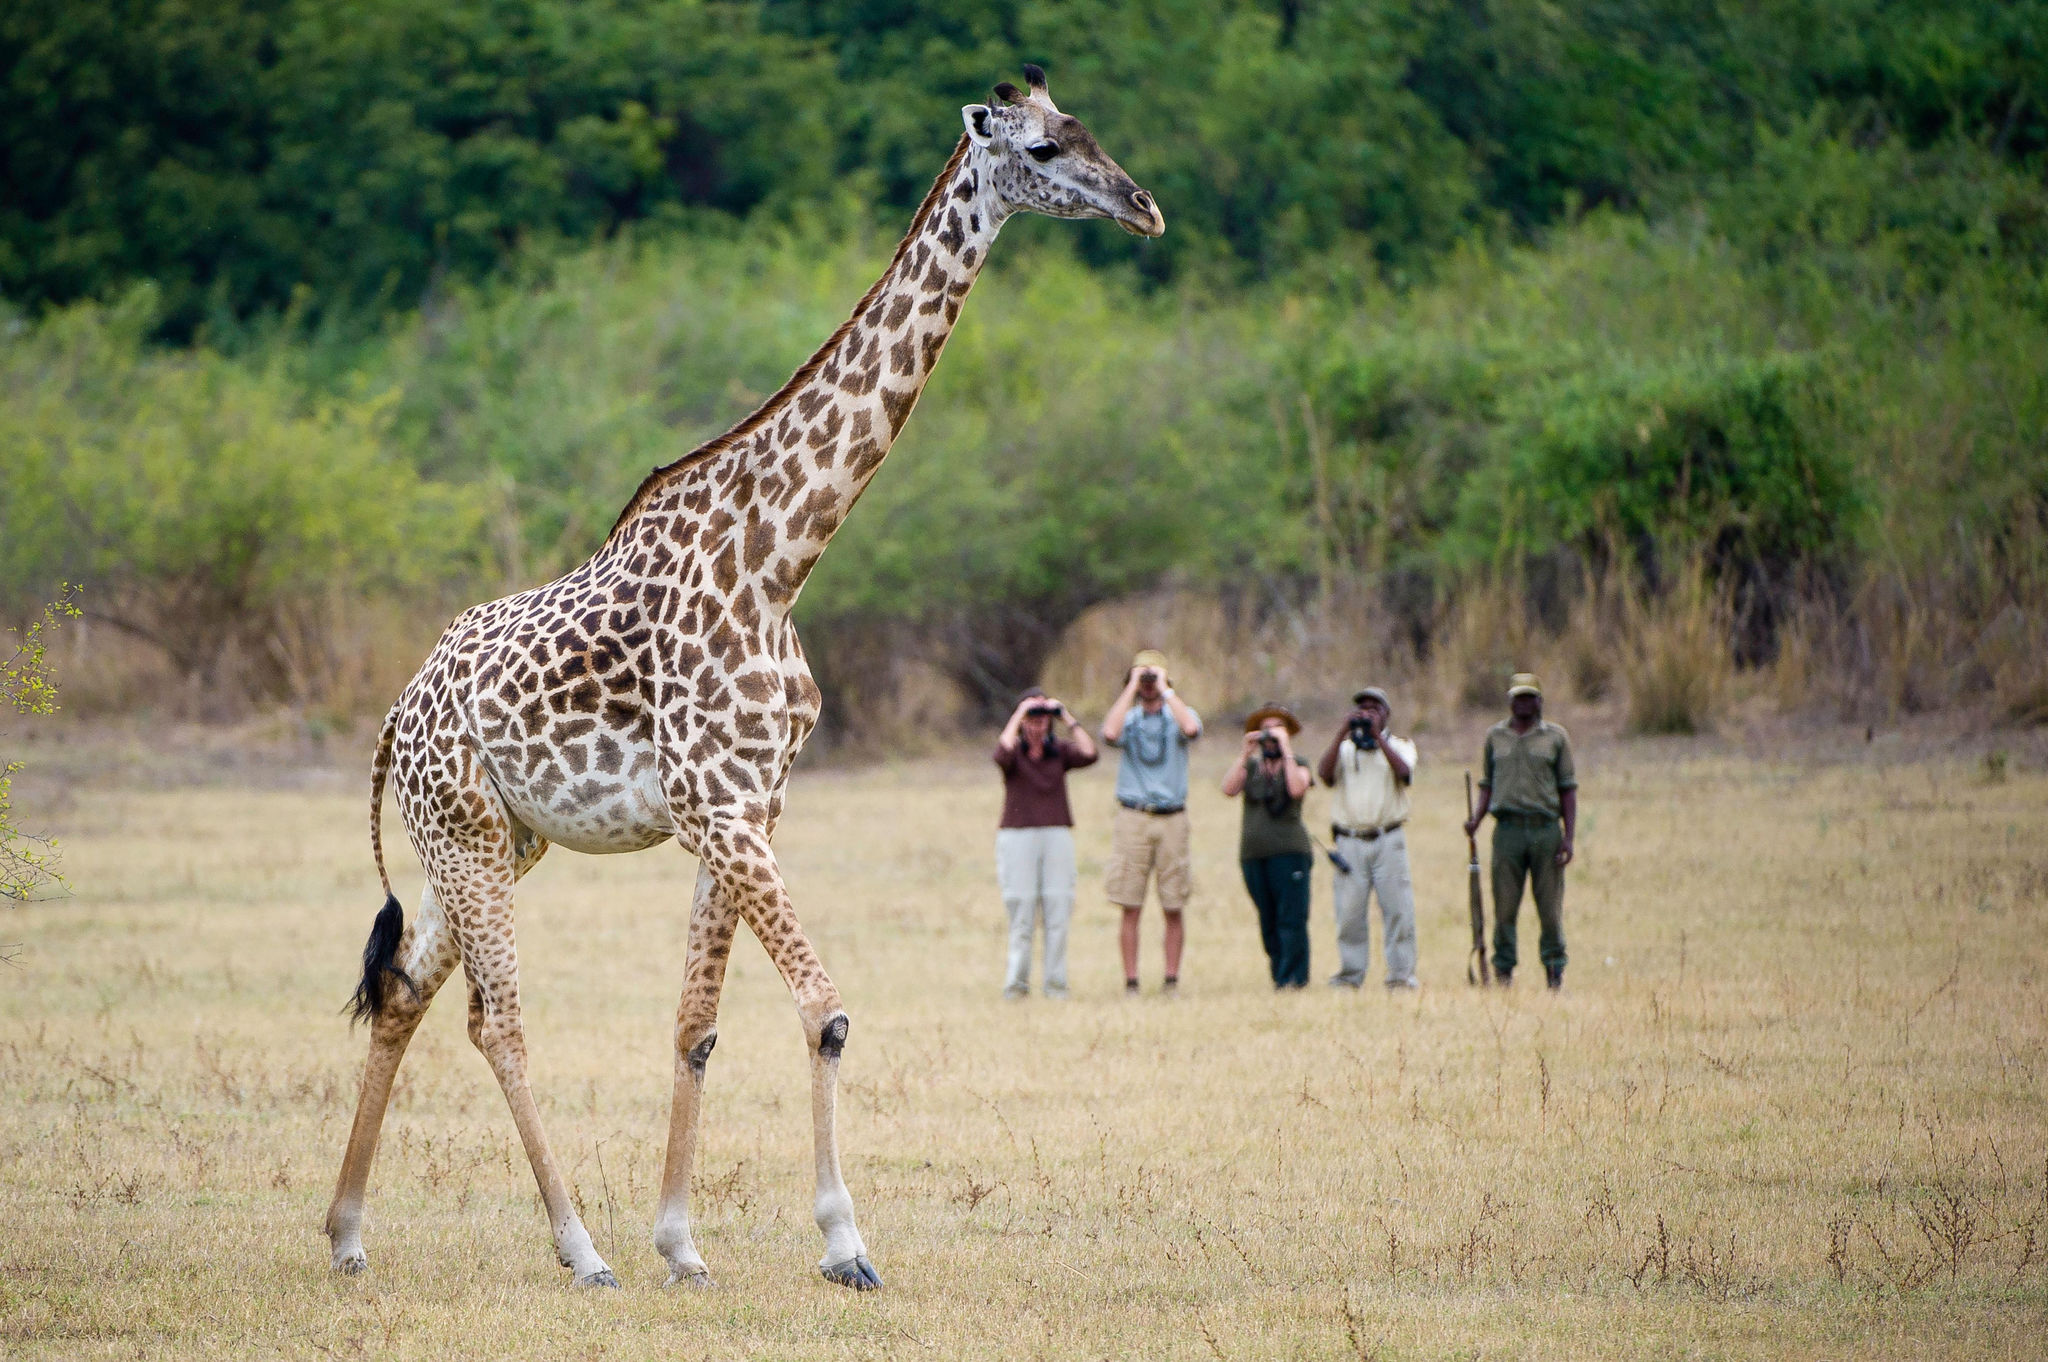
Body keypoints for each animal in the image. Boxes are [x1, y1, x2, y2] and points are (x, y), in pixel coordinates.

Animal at [317, 66, 1155, 1294]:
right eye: (1044, 149)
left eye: (1087, 129)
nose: (1142, 209)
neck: (779, 558)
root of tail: (394, 713)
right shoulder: (718, 806)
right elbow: (825, 1013)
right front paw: (844, 1244)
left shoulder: (750, 805)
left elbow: (697, 1025)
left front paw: (682, 1242)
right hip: (466, 839)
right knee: (496, 1020)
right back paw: (579, 1250)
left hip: (484, 842)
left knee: (403, 993)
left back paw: (345, 1233)